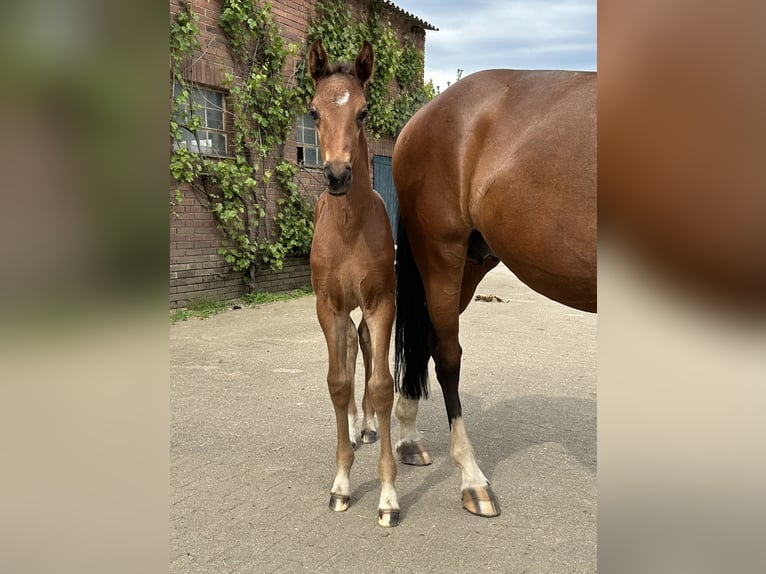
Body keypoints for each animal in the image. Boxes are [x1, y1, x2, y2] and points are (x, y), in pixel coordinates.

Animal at [396, 67, 600, 516]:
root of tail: (419, 120)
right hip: (441, 253)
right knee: (447, 356)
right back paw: (472, 479)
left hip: (472, 263)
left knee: (426, 341)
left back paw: (408, 438)